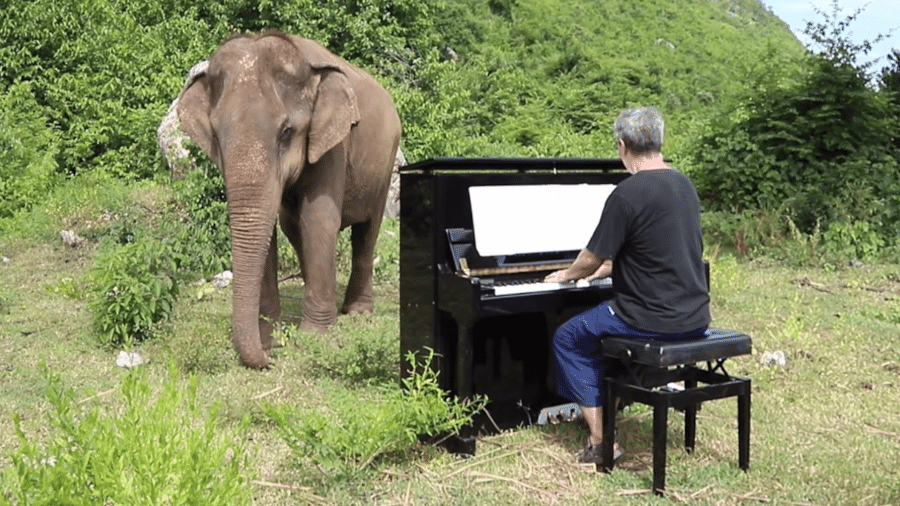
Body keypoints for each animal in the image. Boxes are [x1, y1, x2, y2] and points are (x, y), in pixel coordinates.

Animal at [176, 32, 400, 372]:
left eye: (287, 132)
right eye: (215, 134)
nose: (270, 360)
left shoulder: (334, 143)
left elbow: (320, 218)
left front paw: (314, 338)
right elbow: (270, 229)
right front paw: (271, 338)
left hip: (385, 166)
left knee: (367, 232)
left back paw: (356, 311)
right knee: (293, 228)